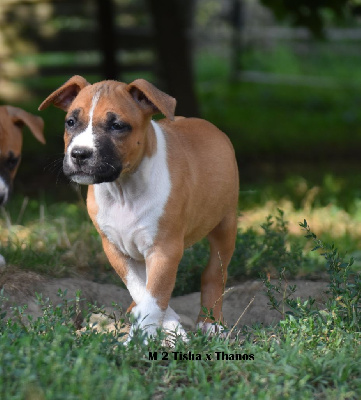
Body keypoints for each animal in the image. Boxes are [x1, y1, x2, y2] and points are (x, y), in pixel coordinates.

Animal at [38, 76, 239, 344]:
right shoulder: (115, 248)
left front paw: (141, 339)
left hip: (225, 226)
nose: (79, 154)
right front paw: (168, 326)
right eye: (70, 122)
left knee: (215, 274)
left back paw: (210, 323)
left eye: (117, 126)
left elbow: (154, 296)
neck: (124, 190)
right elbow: (141, 289)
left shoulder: (164, 250)